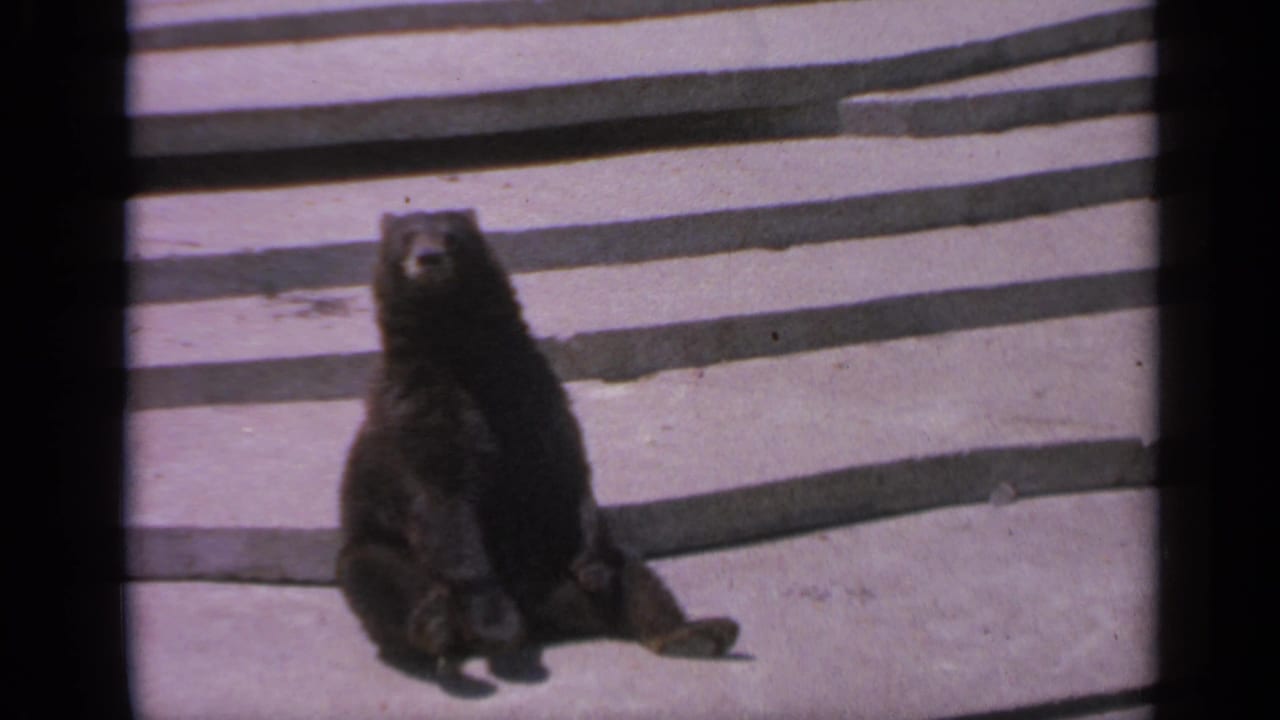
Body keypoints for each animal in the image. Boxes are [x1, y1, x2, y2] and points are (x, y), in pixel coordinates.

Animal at [337, 209, 739, 676]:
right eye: (407, 238)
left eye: (451, 236)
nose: (429, 257)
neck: (458, 345)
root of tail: (547, 614)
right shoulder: (417, 407)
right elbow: (445, 505)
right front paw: (495, 623)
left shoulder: (528, 384)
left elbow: (566, 466)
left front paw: (592, 563)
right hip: (379, 544)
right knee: (377, 580)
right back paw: (436, 625)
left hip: (553, 556)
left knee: (634, 575)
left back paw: (695, 633)